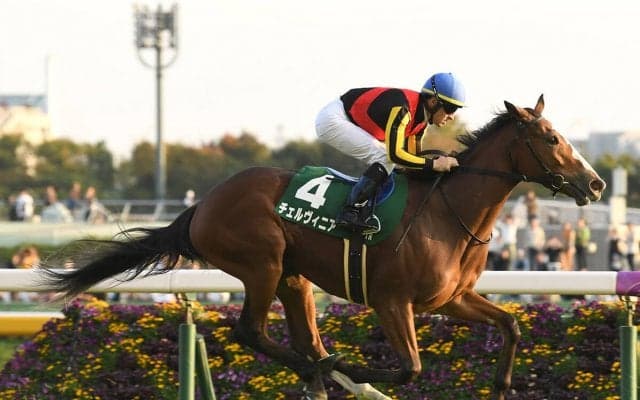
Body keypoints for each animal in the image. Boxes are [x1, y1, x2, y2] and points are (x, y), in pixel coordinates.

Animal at [40, 95, 605, 400]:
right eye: (552, 139)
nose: (597, 184)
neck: (450, 212)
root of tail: (201, 206)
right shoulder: (391, 301)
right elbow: (411, 367)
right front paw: (357, 370)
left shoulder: (451, 299)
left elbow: (510, 324)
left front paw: (503, 384)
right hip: (262, 263)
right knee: (252, 332)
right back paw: (323, 372)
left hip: (294, 277)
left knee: (305, 338)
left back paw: (319, 371)